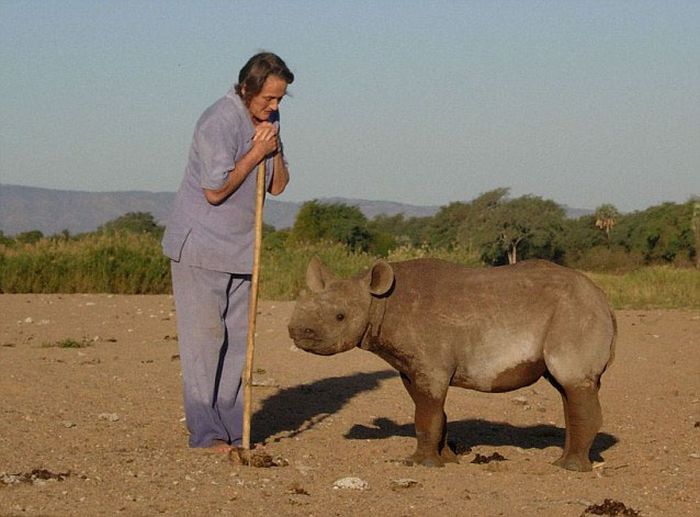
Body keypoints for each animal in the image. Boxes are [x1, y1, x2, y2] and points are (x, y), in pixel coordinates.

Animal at [288, 256, 616, 470]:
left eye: (340, 317)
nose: (297, 331)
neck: (379, 303)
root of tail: (605, 301)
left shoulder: (431, 367)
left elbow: (426, 414)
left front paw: (421, 464)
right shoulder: (412, 367)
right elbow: (433, 413)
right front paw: (448, 459)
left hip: (575, 313)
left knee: (573, 383)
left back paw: (569, 468)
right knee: (566, 390)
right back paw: (564, 461)